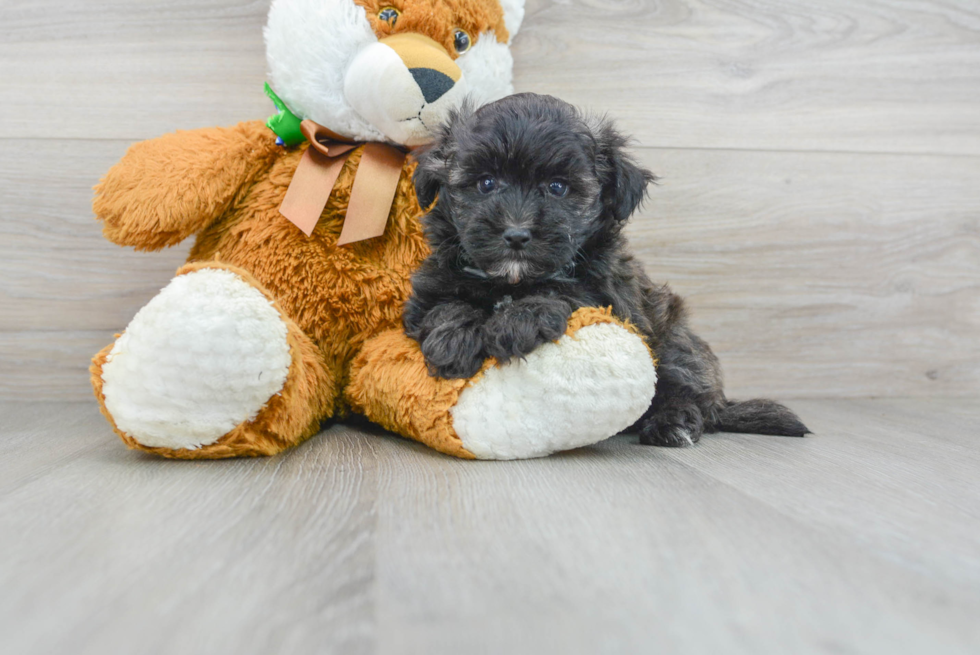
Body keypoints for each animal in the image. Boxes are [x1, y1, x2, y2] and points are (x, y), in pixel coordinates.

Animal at [402, 93, 808, 446]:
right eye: (486, 183)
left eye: (558, 187)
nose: (516, 234)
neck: (513, 281)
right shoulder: (430, 287)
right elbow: (446, 305)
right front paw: (454, 339)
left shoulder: (612, 299)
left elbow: (564, 291)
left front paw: (519, 320)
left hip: (674, 340)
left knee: (688, 391)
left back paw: (673, 424)